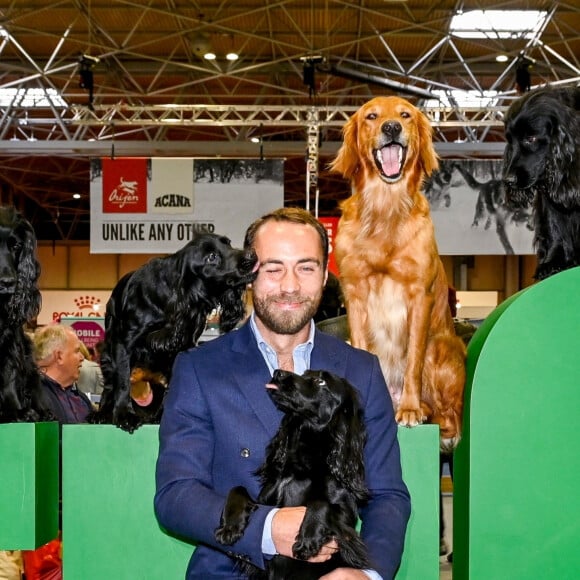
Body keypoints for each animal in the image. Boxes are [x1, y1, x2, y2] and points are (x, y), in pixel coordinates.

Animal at [91, 233, 258, 432]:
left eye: (228, 244)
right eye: (211, 257)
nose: (252, 255)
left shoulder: (181, 347)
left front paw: (164, 416)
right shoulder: (124, 342)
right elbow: (122, 381)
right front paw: (125, 414)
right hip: (108, 352)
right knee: (110, 384)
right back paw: (102, 414)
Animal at [215, 370, 370, 576]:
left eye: (321, 381)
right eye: (305, 373)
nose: (278, 373)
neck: (300, 467)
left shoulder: (346, 518)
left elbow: (321, 503)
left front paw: (308, 538)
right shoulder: (264, 502)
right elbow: (237, 488)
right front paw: (230, 527)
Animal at [502, 85, 580, 280]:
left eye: (531, 139)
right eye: (510, 141)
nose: (508, 180)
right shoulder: (550, 194)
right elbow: (554, 227)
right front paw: (552, 262)